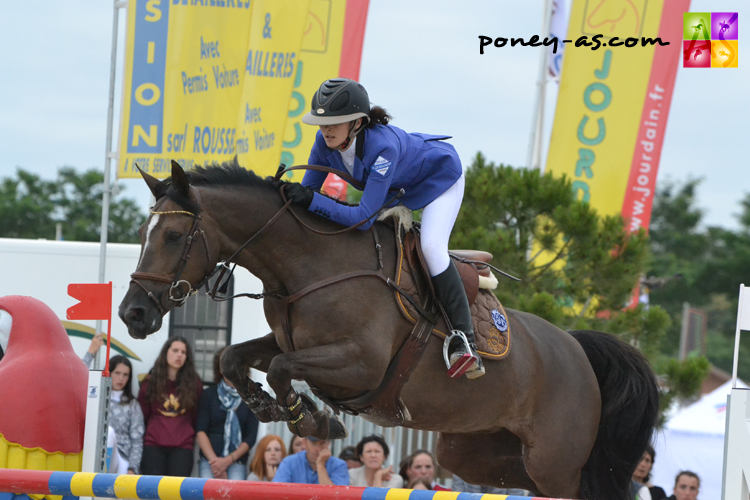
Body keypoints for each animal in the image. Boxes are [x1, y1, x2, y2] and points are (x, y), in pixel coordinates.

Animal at [120, 161, 660, 500]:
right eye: (144, 234)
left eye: (173, 236)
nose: (131, 315)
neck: (308, 264)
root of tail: (577, 349)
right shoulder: (289, 340)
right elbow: (232, 358)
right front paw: (272, 408)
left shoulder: (360, 364)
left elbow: (280, 368)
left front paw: (312, 419)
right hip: (476, 453)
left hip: (555, 461)